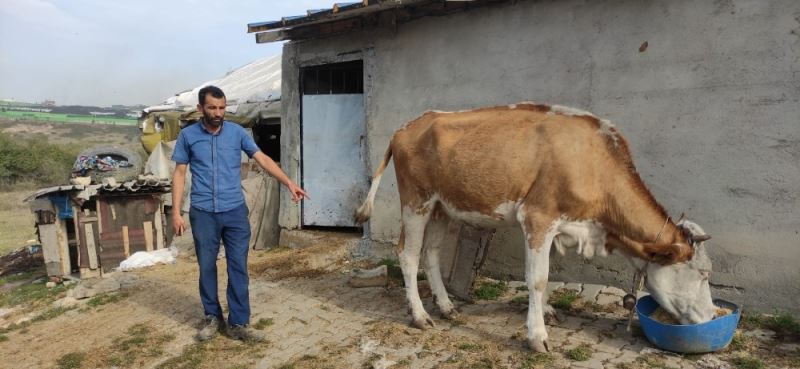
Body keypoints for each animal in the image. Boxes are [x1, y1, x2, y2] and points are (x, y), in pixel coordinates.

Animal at [354, 101, 716, 350]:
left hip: (443, 206)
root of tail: (409, 125)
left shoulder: (558, 226)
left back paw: (446, 308)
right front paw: (537, 335)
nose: (712, 317)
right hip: (416, 201)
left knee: (430, 254)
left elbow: (548, 275)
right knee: (408, 254)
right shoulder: (538, 217)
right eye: (702, 274)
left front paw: (548, 311)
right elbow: (537, 279)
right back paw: (419, 316)